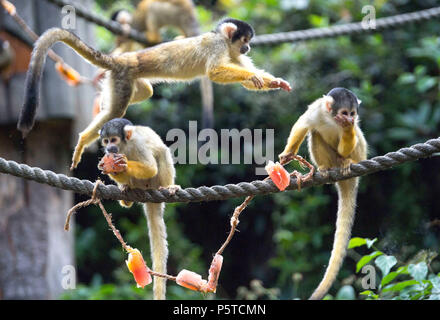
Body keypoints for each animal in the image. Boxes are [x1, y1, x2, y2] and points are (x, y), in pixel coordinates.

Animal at [18, 17, 292, 170]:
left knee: (143, 92)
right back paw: (85, 138)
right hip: (123, 78)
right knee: (117, 109)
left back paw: (102, 99)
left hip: (124, 79)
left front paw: (274, 82)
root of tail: (120, 60)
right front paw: (252, 77)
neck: (223, 41)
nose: (248, 48)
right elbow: (214, 72)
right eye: (244, 40)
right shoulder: (217, 45)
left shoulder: (232, 53)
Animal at [97, 118, 177, 300]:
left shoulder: (138, 143)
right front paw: (110, 167)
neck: (124, 147)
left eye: (113, 140)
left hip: (154, 182)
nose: (109, 148)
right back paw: (126, 193)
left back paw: (168, 187)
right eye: (106, 141)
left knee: (162, 152)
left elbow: (150, 167)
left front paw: (124, 165)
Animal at [278, 87, 368, 300]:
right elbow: (303, 125)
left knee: (355, 141)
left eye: (352, 114)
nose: (349, 119)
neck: (332, 119)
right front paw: (287, 153)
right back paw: (326, 168)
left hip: (361, 156)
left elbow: (348, 139)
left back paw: (347, 162)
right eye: (344, 113)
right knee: (315, 133)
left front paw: (348, 130)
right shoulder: (317, 109)